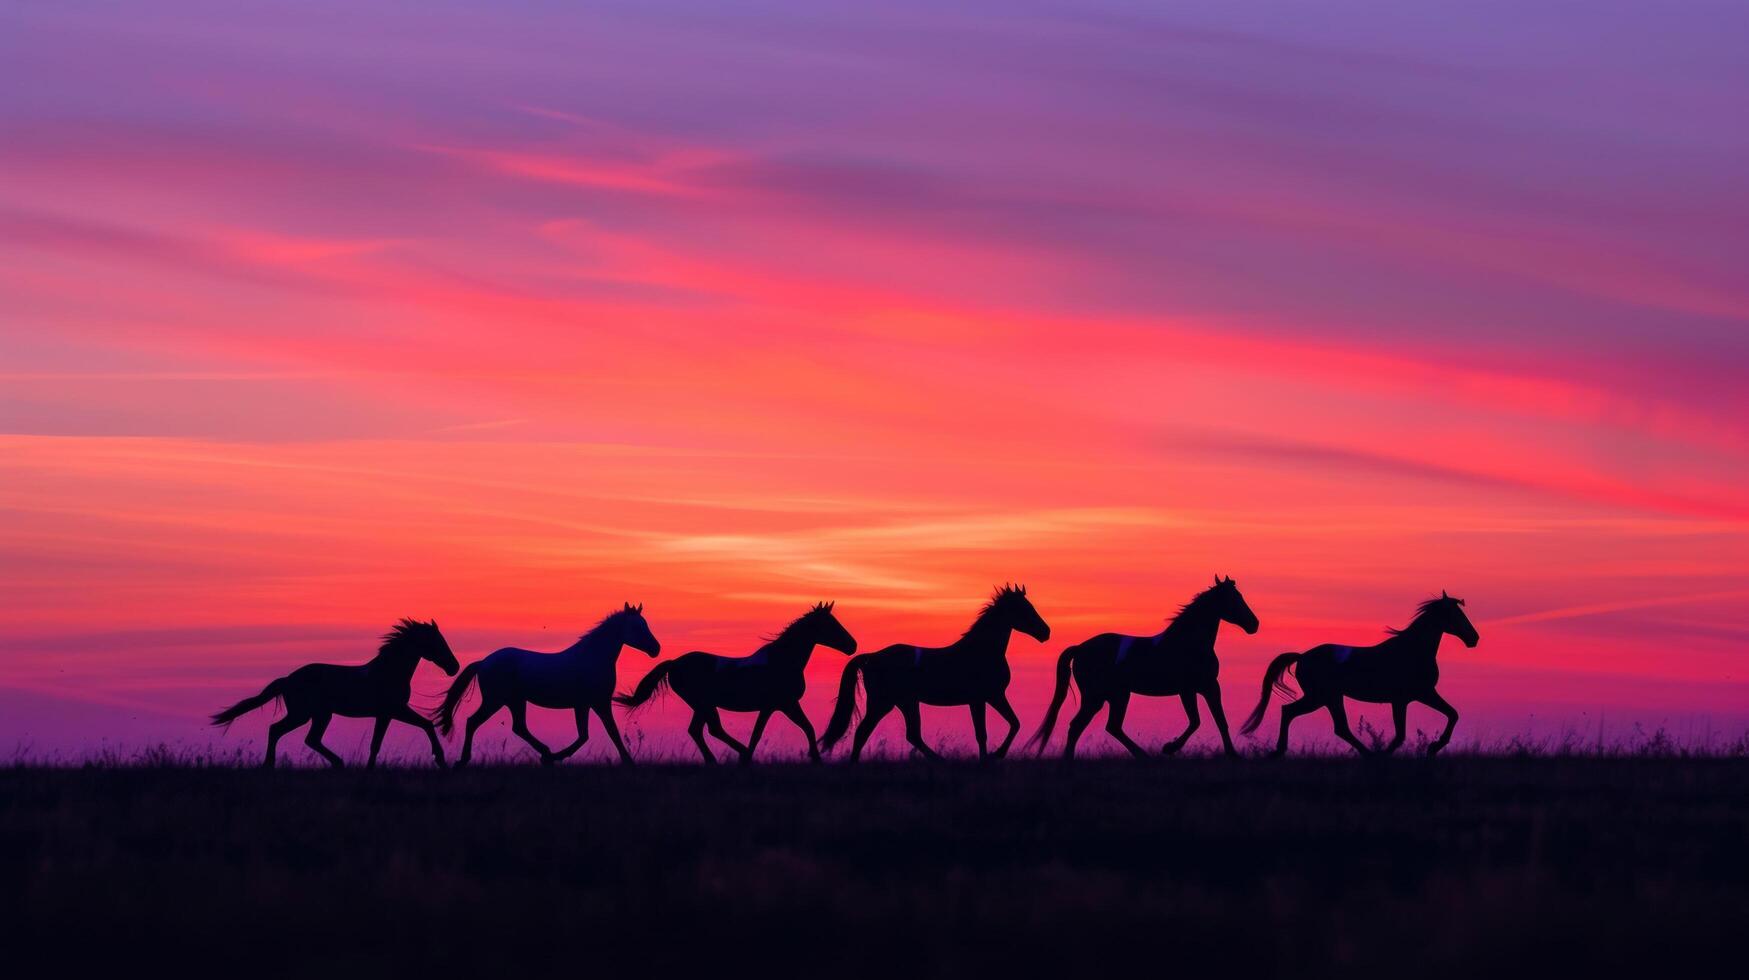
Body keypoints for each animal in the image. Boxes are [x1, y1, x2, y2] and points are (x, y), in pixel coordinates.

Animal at [822, 584, 1049, 763]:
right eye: (1023, 608)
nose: (1045, 632)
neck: (981, 651)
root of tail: (872, 657)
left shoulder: (990, 697)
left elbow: (1011, 724)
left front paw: (991, 757)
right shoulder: (985, 698)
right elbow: (987, 732)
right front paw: (994, 756)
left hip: (905, 702)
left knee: (911, 735)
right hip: (883, 702)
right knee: (865, 732)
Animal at [1021, 577, 1259, 763]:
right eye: (1233, 599)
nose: (1254, 624)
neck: (1188, 643)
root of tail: (1080, 648)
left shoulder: (1209, 687)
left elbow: (1220, 720)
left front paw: (1233, 754)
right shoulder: (1189, 690)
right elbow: (1196, 721)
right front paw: (1169, 748)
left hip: (1114, 696)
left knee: (1108, 726)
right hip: (1100, 697)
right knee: (1083, 725)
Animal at [1245, 588, 1476, 759]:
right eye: (1456, 615)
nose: (1474, 638)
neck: (1412, 650)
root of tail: (1302, 657)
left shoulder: (1414, 697)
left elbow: (1450, 714)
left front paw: (1431, 748)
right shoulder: (1414, 696)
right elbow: (1406, 732)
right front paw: (1431, 748)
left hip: (1327, 697)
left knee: (1328, 724)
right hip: (1322, 697)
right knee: (1297, 714)